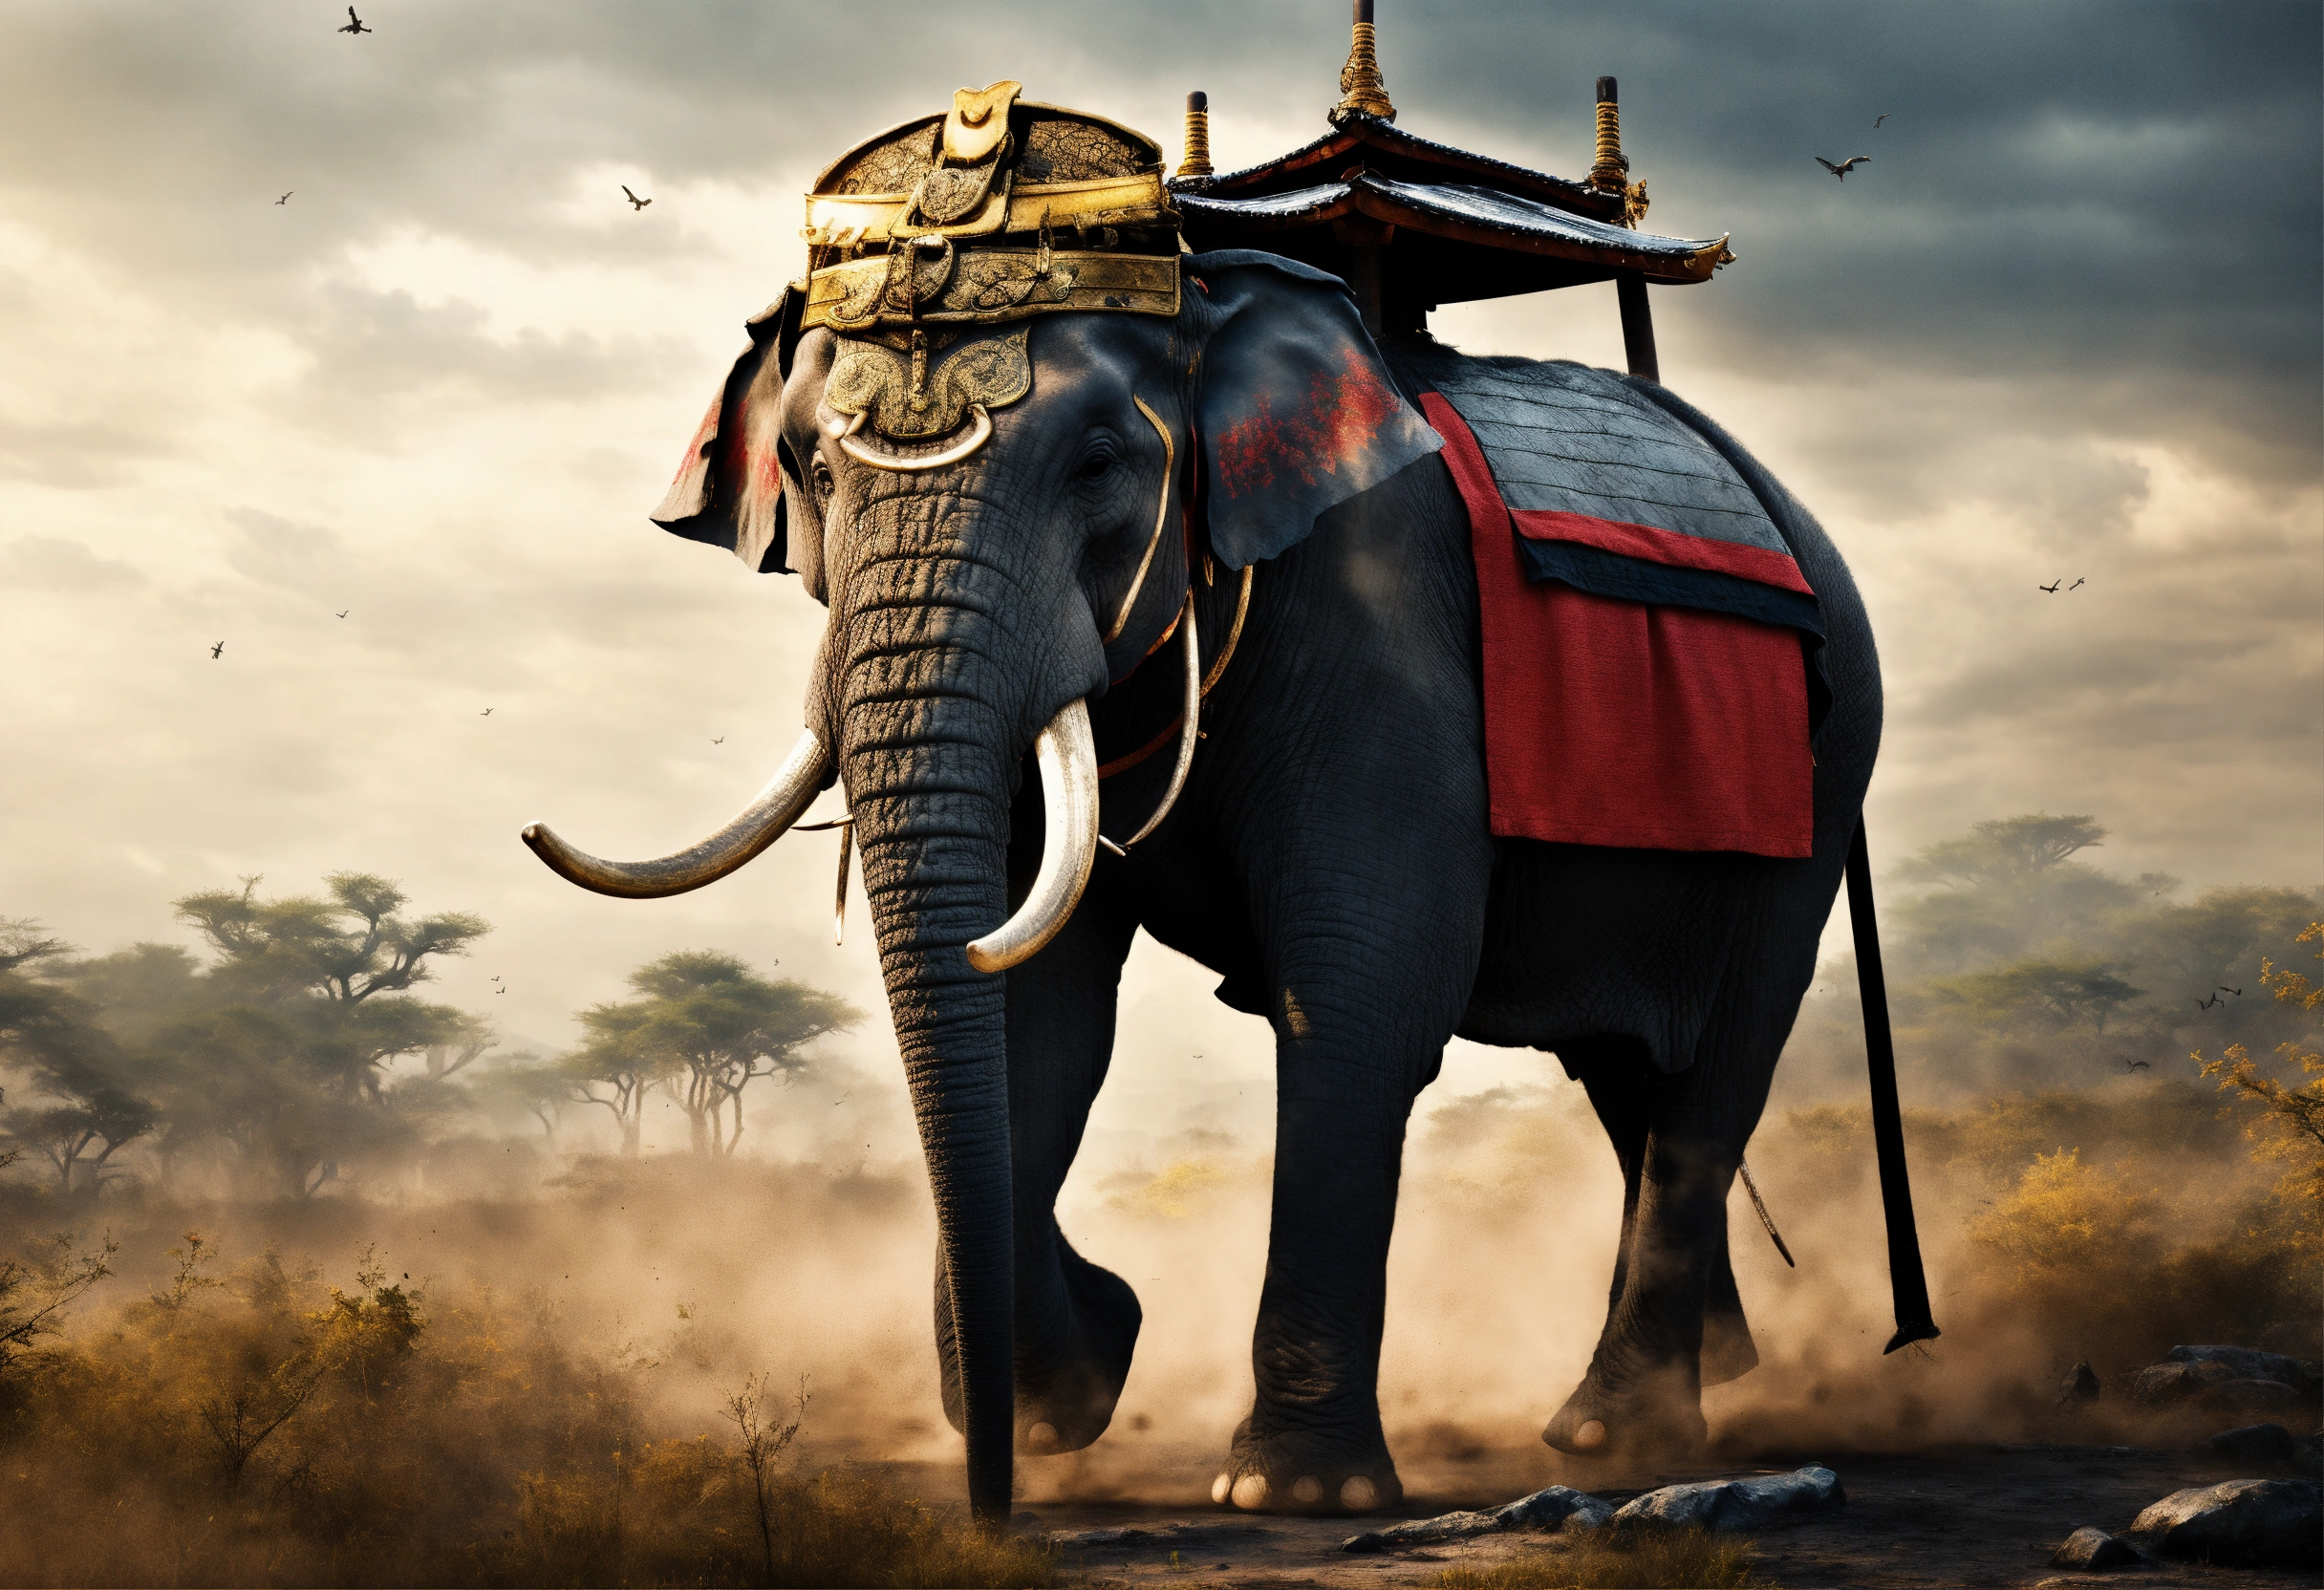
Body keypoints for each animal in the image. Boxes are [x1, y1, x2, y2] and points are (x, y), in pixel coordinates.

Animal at [523, 101, 1878, 1525]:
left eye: (1100, 464)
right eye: (805, 469)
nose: (992, 1509)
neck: (1205, 299)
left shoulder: (1384, 618)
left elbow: (1360, 992)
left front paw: (1290, 1492)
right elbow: (1038, 1012)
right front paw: (1073, 1391)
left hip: (1826, 755)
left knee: (1710, 1069)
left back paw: (1614, 1433)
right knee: (1632, 1077)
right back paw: (1697, 1381)